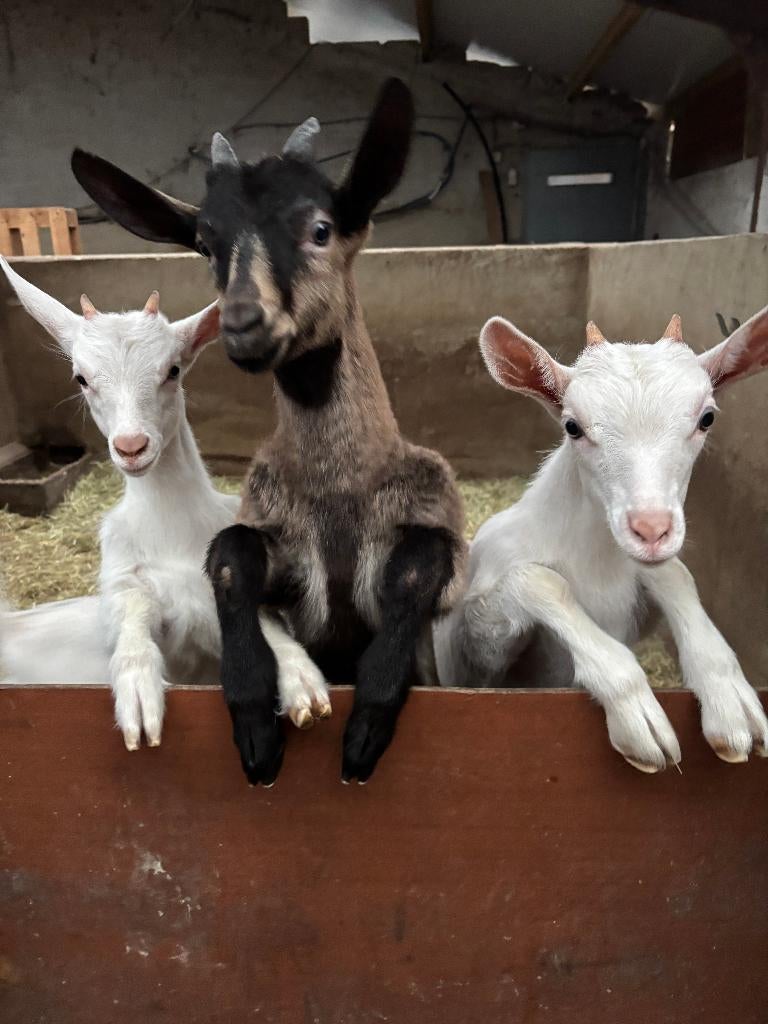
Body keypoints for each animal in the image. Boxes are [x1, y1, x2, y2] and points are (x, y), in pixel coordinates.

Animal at [0, 257, 330, 751]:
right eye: (82, 378)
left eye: (173, 370)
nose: (131, 446)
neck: (173, 529)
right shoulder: (125, 581)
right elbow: (134, 627)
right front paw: (138, 696)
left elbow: (266, 623)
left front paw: (301, 679)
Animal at [71, 78, 467, 785]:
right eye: (205, 243)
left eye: (320, 228)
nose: (241, 322)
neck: (340, 491)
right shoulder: (282, 550)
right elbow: (232, 558)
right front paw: (255, 721)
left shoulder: (437, 532)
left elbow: (415, 571)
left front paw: (366, 727)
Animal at [434, 311, 768, 772]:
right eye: (572, 426)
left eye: (707, 419)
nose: (651, 528)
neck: (595, 563)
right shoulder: (475, 653)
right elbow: (539, 580)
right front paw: (638, 714)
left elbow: (674, 575)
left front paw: (730, 697)